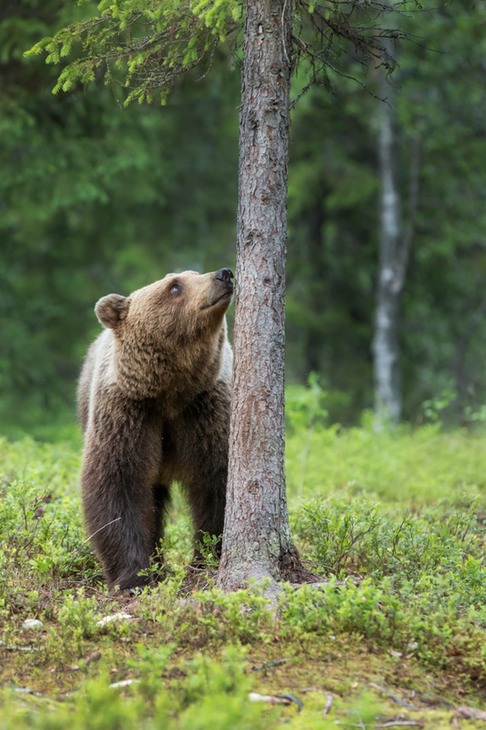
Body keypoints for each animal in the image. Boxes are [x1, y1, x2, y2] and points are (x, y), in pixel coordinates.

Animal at [77, 268, 234, 592]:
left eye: (194, 273)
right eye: (174, 286)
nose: (223, 274)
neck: (171, 391)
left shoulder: (206, 409)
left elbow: (217, 479)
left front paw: (205, 560)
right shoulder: (128, 412)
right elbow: (117, 483)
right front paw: (135, 575)